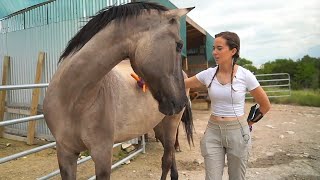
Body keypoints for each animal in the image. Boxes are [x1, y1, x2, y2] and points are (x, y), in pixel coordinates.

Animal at [43, 1, 194, 180]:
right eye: (179, 45)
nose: (180, 102)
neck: (73, 99)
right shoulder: (65, 153)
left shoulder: (102, 154)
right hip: (159, 126)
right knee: (170, 157)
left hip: (171, 124)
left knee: (167, 159)